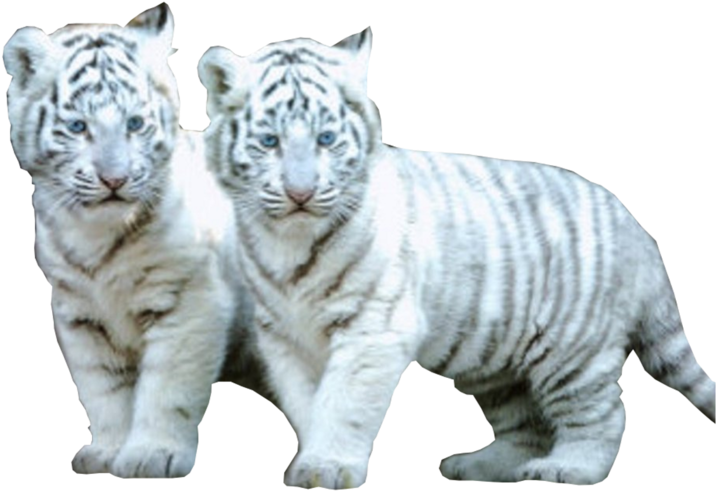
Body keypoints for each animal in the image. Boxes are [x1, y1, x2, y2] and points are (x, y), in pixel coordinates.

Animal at [3, 3, 267, 479]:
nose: (115, 179)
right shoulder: (79, 315)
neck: (96, 236)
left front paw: (152, 455)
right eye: (77, 126)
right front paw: (107, 451)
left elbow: (166, 387)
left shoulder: (190, 300)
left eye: (135, 123)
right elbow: (102, 390)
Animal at [197, 26, 715, 488]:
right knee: (526, 426)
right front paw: (311, 459)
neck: (288, 242)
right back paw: (479, 466)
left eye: (326, 140)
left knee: (604, 413)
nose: (300, 194)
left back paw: (568, 469)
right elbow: (307, 403)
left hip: (574, 349)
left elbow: (344, 402)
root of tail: (638, 227)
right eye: (270, 142)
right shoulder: (284, 337)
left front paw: (328, 466)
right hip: (495, 361)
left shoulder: (374, 327)